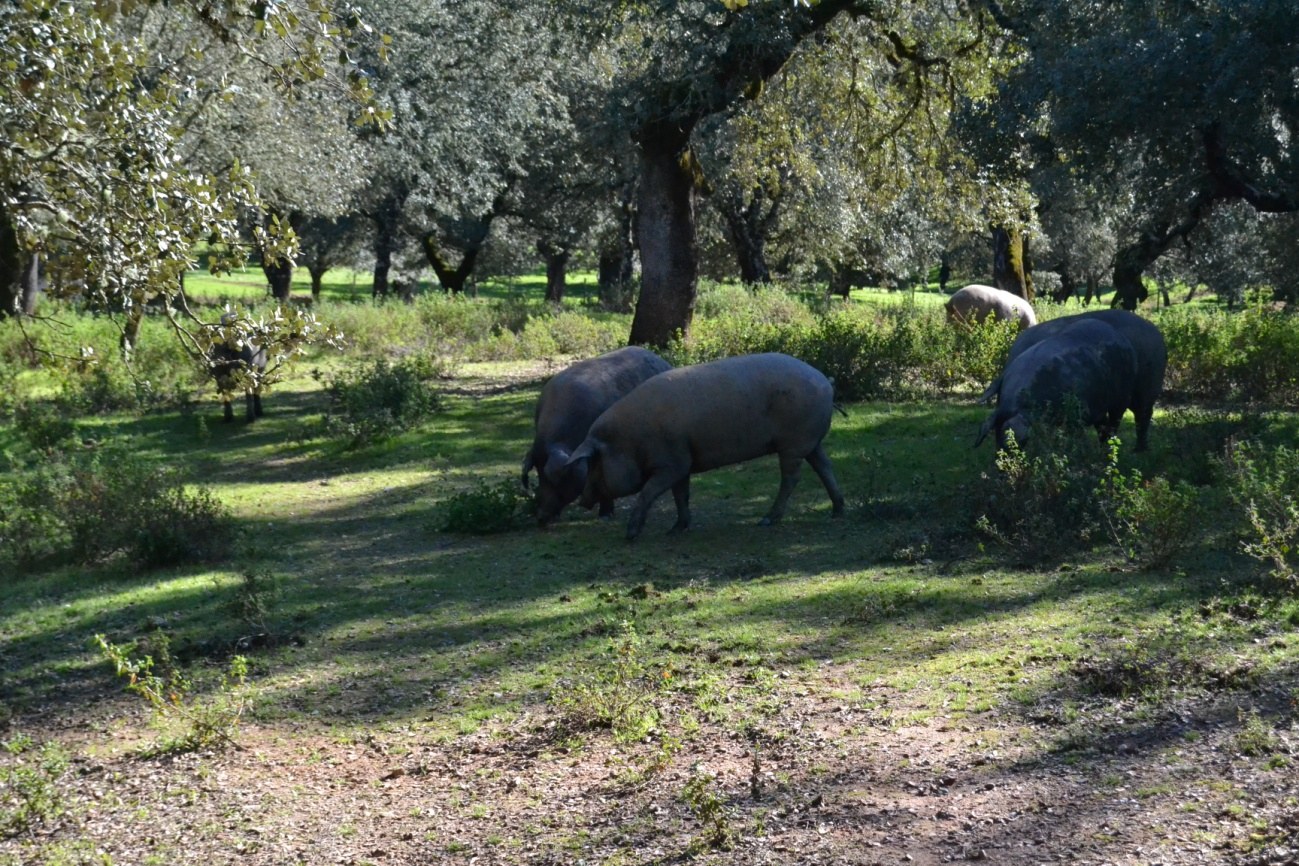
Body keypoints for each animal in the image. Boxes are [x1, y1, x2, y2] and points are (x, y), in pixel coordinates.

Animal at [563, 350, 846, 537]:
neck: (630, 441)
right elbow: (681, 494)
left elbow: (649, 492)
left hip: (793, 443)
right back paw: (837, 511)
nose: (582, 501)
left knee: (792, 478)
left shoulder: (672, 463)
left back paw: (766, 520)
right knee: (825, 466)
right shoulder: (683, 462)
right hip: (811, 441)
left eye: (595, 463)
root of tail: (825, 381)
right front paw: (676, 529)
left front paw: (631, 534)